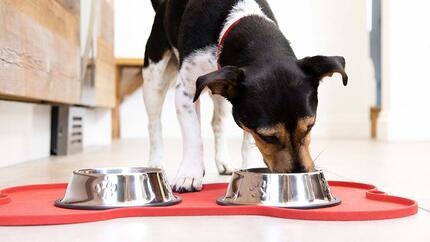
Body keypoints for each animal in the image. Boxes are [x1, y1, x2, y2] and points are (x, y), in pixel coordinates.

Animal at [143, 0, 348, 193]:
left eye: (310, 127)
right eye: (268, 137)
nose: (299, 174)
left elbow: (247, 138)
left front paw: (251, 166)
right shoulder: (186, 90)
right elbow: (194, 137)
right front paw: (189, 174)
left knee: (217, 123)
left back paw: (223, 161)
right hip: (154, 75)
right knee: (154, 123)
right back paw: (155, 163)